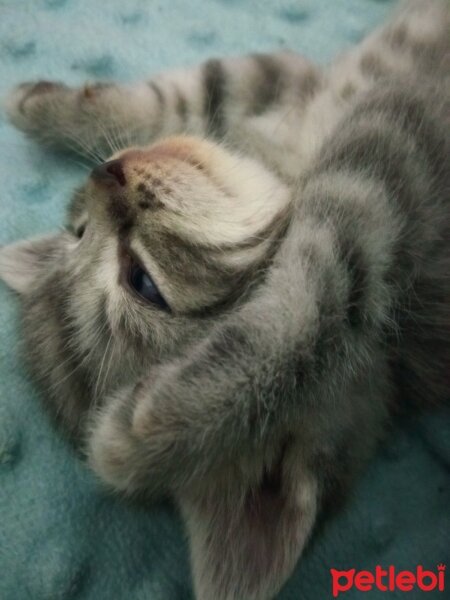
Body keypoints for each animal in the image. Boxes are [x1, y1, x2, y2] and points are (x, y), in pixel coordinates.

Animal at [0, 1, 450, 600]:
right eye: (80, 234)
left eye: (140, 280)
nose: (101, 175)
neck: (287, 158)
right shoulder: (358, 125)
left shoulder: (377, 132)